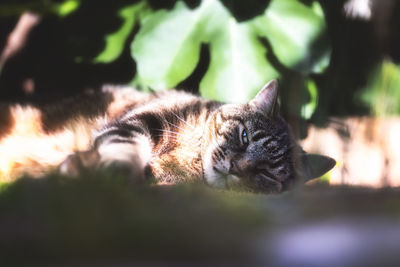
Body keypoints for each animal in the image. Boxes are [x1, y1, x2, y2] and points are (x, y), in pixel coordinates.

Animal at [0, 79, 334, 193]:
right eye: (244, 137)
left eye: (266, 173)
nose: (236, 168)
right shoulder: (141, 120)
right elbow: (126, 147)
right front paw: (112, 168)